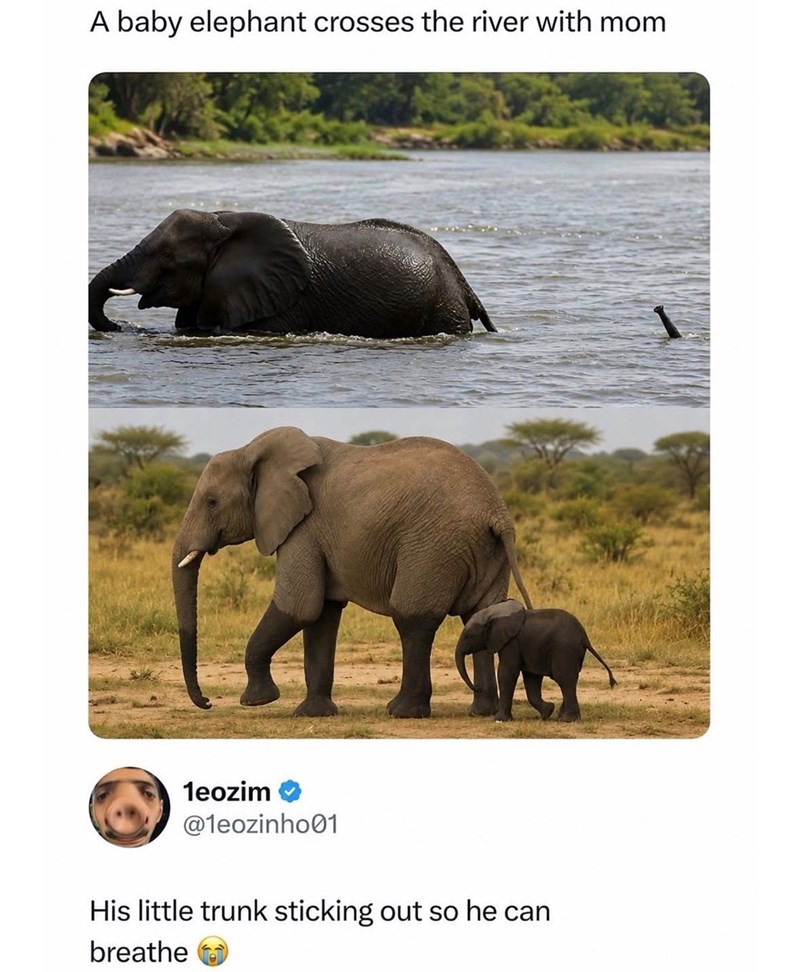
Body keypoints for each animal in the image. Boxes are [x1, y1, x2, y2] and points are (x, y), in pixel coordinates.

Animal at [89, 209, 497, 338]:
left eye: (167, 254)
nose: (120, 327)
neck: (223, 221)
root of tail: (463, 282)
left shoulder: (281, 305)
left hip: (443, 309)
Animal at [172, 428, 533, 718]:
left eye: (212, 502)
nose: (207, 701)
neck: (250, 451)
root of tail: (495, 511)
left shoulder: (303, 528)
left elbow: (298, 607)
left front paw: (258, 701)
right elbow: (321, 615)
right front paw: (312, 714)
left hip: (433, 546)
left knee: (412, 618)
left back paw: (402, 711)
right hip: (483, 549)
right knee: (480, 615)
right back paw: (481, 711)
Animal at [454, 599, 617, 722]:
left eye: (468, 636)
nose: (478, 688)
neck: (493, 612)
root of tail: (584, 636)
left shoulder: (511, 642)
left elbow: (507, 672)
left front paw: (499, 719)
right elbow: (531, 677)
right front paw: (548, 712)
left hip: (564, 649)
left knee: (564, 679)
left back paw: (567, 720)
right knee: (569, 680)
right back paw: (560, 717)